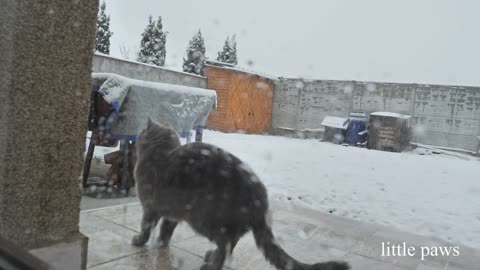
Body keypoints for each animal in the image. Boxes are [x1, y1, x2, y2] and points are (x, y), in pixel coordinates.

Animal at [131, 117, 348, 270]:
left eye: (141, 132)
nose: (137, 135)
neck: (161, 153)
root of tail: (261, 198)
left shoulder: (150, 208)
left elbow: (146, 227)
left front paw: (140, 241)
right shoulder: (173, 213)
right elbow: (166, 229)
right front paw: (161, 243)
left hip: (204, 219)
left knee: (226, 244)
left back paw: (211, 265)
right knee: (231, 242)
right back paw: (212, 256)